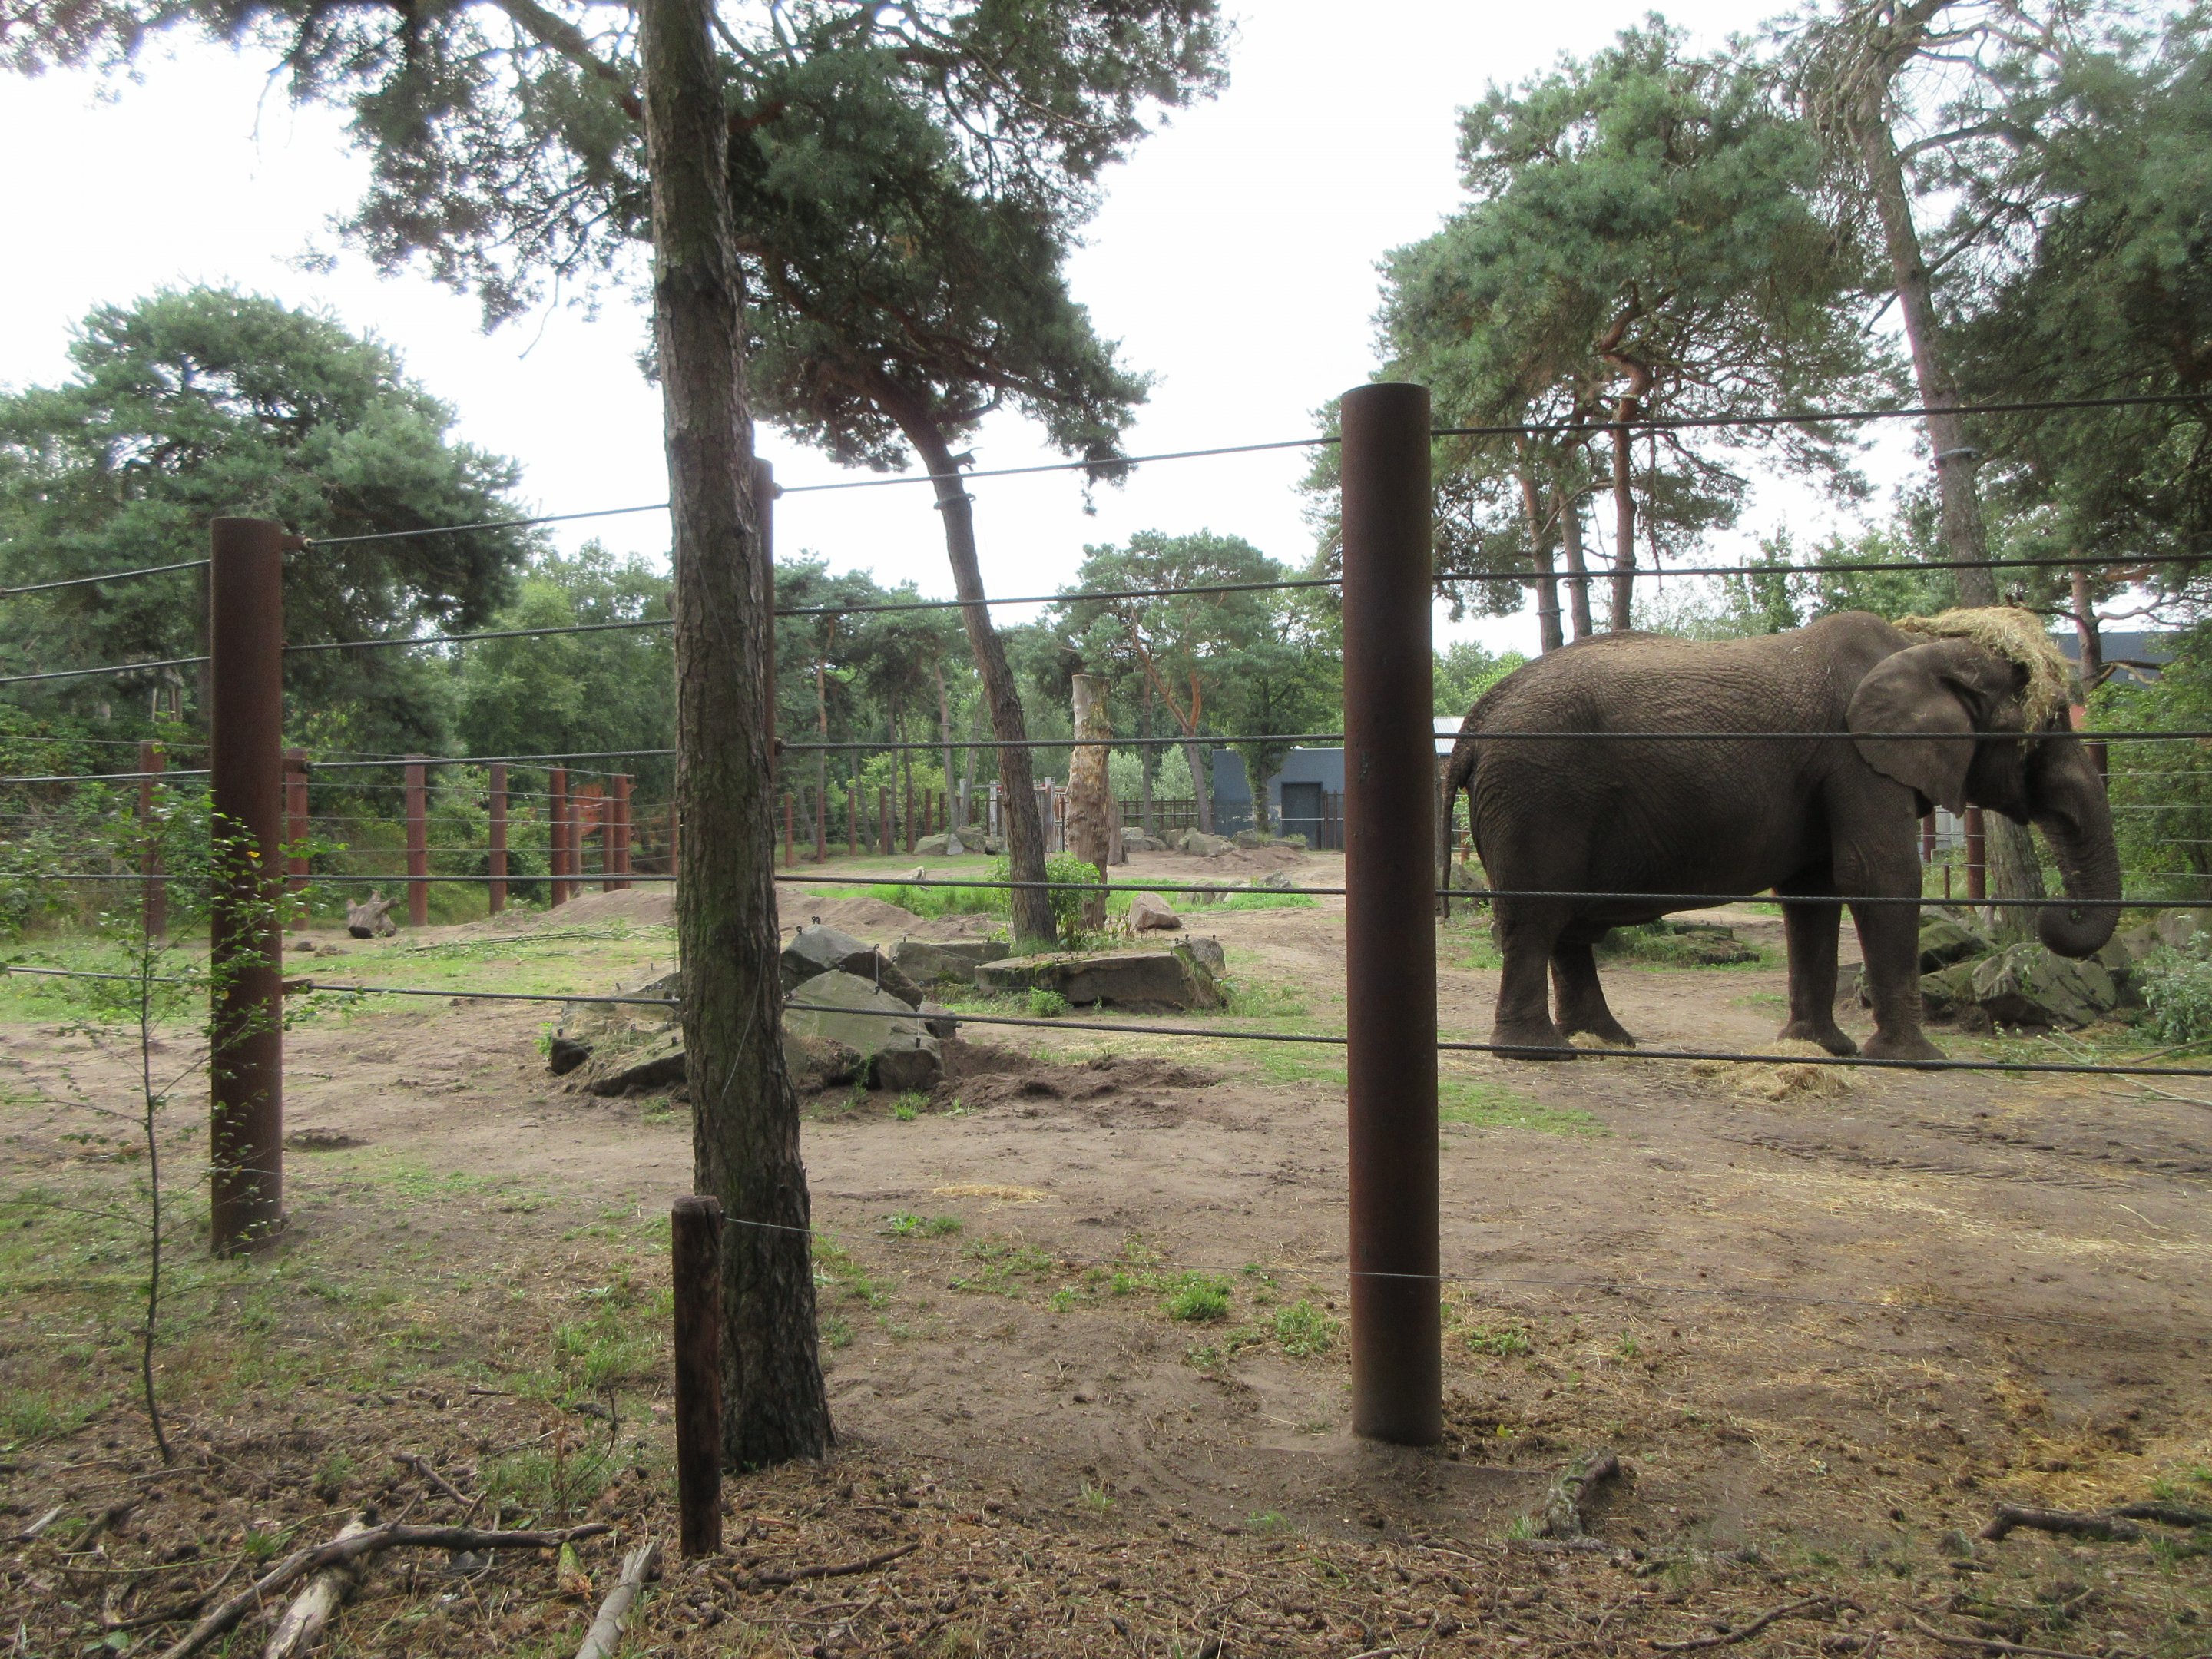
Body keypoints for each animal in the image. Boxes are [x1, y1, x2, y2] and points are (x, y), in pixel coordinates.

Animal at [1438, 609, 2120, 1062]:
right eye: (2047, 724)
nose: (2057, 916)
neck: (1923, 645)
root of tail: (1475, 722)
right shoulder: (1857, 761)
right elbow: (1881, 876)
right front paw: (1915, 1062)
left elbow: (1814, 892)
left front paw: (1824, 1049)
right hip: (1539, 792)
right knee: (1539, 913)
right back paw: (1541, 1053)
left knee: (1566, 923)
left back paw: (1607, 1041)